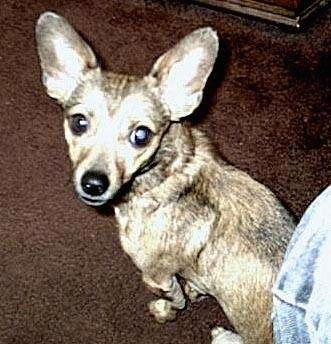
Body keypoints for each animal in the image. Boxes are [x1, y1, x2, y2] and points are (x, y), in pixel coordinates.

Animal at [35, 12, 296, 342]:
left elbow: (176, 299)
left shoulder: (156, 275)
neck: (162, 175)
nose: (93, 183)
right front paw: (195, 290)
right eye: (78, 122)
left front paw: (166, 310)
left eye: (141, 135)